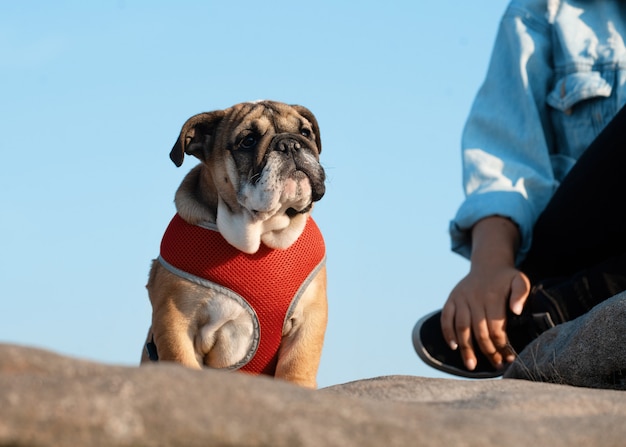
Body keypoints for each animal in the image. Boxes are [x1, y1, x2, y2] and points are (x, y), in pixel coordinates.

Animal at [141, 100, 326, 388]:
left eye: (305, 132)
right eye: (248, 141)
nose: (290, 144)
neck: (259, 236)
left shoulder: (309, 319)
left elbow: (297, 364)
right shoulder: (176, 321)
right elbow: (182, 362)